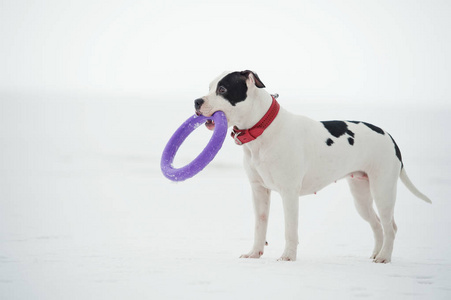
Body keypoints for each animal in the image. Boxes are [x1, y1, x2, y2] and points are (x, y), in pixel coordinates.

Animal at [193, 69, 430, 262]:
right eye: (209, 87)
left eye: (222, 89)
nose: (196, 101)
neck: (263, 129)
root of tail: (389, 136)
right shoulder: (258, 191)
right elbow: (260, 225)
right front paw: (254, 253)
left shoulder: (289, 193)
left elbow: (290, 229)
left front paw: (288, 257)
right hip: (361, 196)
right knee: (377, 225)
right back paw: (376, 254)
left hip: (383, 191)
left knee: (391, 227)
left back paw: (384, 257)